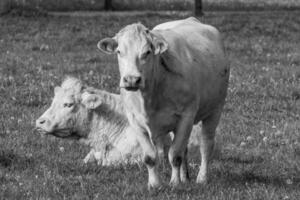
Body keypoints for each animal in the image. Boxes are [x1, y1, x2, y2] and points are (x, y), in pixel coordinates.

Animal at [97, 16, 229, 188]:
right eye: (119, 51)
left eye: (147, 52)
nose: (131, 79)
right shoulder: (135, 120)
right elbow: (151, 157)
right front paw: (154, 184)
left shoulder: (187, 116)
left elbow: (175, 154)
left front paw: (174, 183)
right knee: (184, 148)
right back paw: (185, 177)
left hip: (215, 110)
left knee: (206, 145)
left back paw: (202, 178)